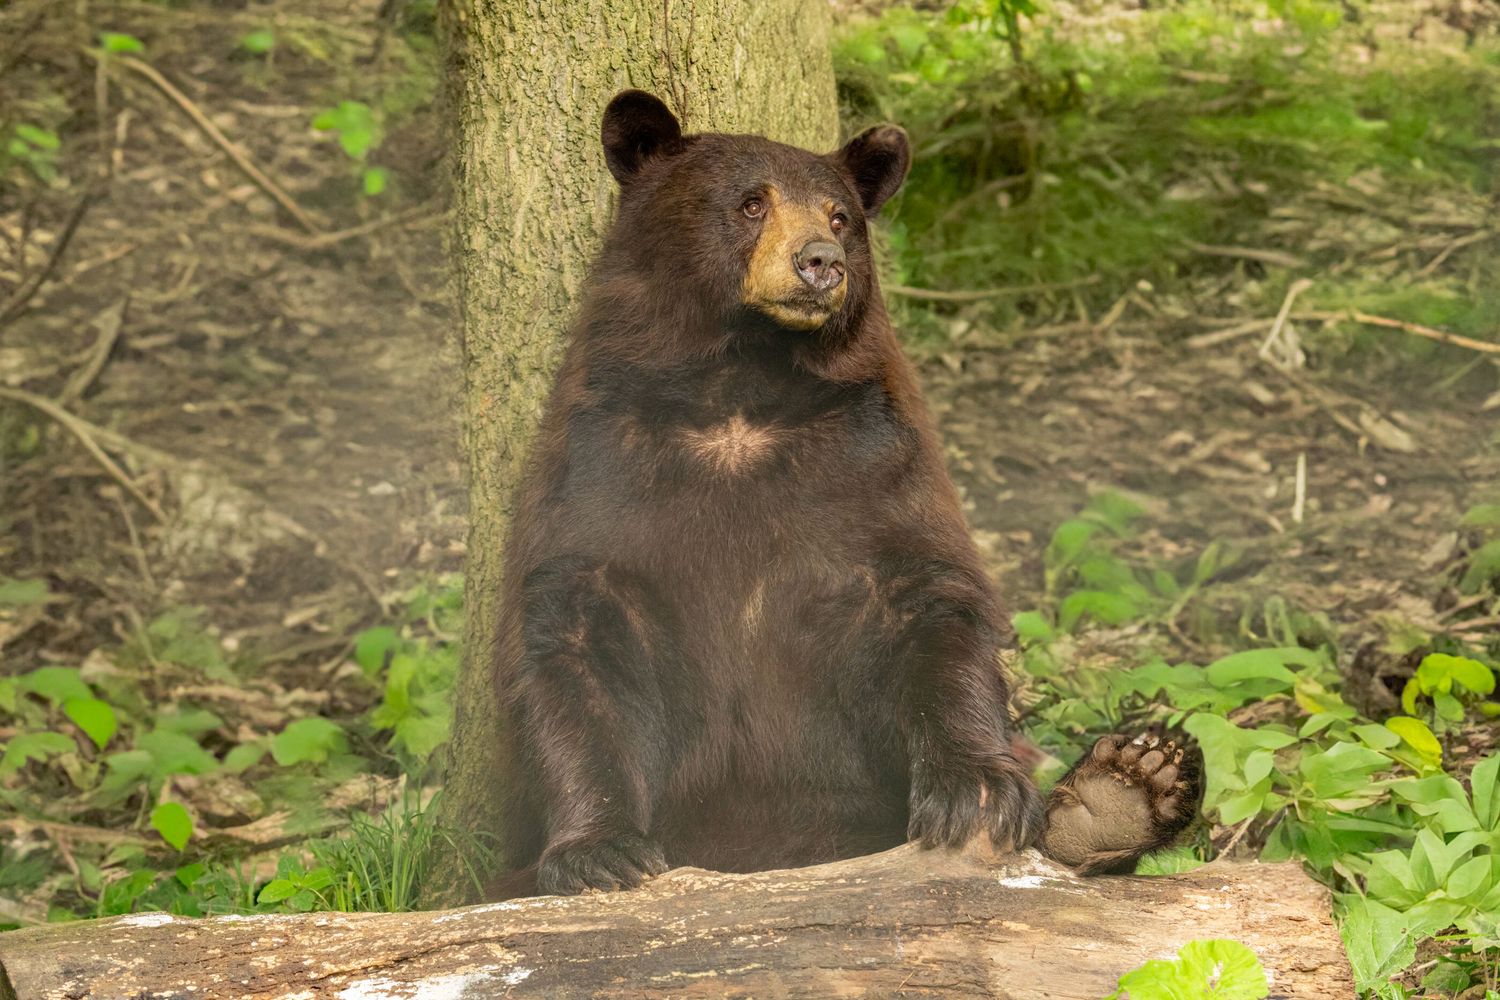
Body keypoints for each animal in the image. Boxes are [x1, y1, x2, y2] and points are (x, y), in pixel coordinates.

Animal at [487, 90, 1202, 896]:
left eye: (838, 218)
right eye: (751, 202)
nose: (820, 262)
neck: (742, 388)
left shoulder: (875, 460)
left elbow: (932, 606)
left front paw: (975, 788)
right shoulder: (598, 463)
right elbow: (573, 635)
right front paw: (599, 850)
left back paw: (1123, 791)